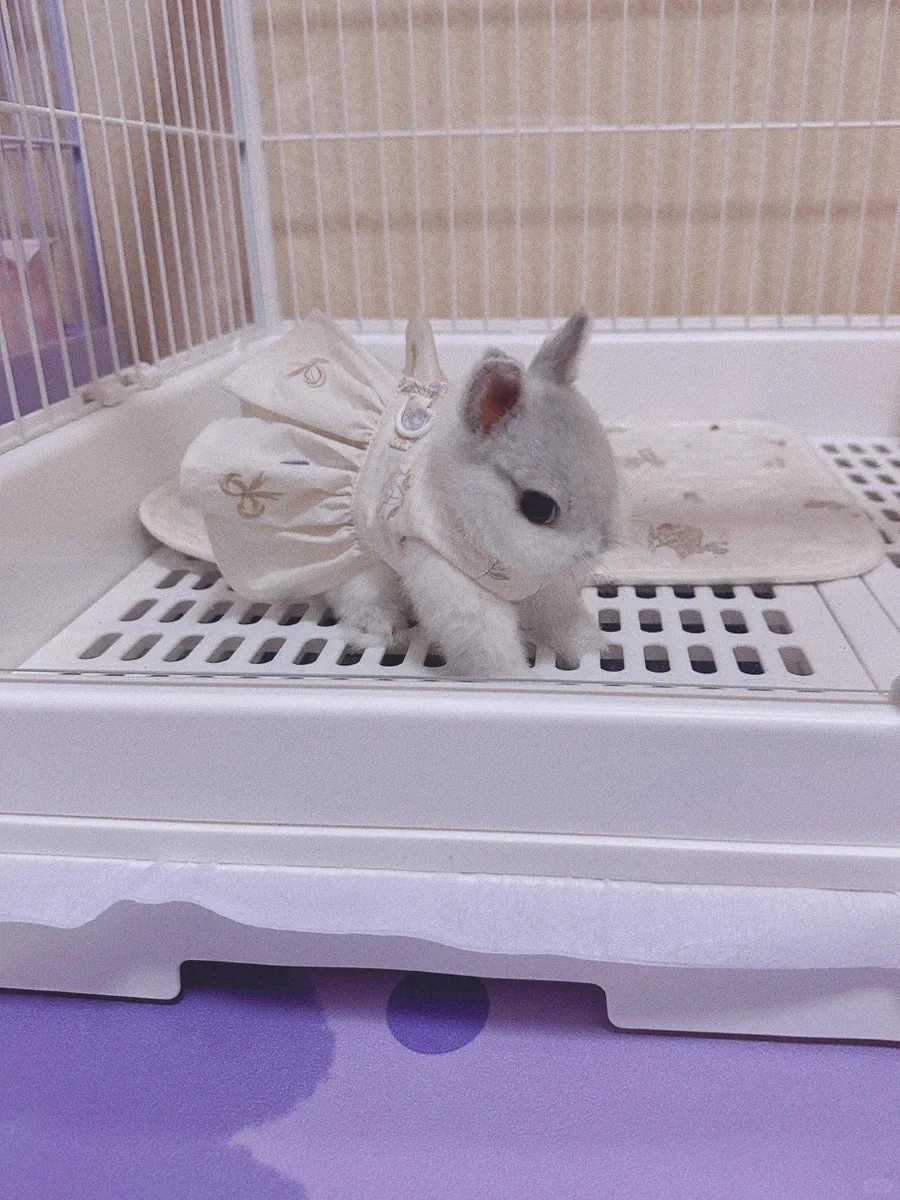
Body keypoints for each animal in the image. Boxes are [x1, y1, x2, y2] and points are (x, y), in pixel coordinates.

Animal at [326, 312, 621, 677]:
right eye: (539, 508)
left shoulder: (540, 587)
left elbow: (560, 615)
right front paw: (513, 678)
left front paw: (591, 646)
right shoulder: (450, 580)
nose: (600, 545)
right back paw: (383, 626)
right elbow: (486, 641)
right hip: (357, 563)